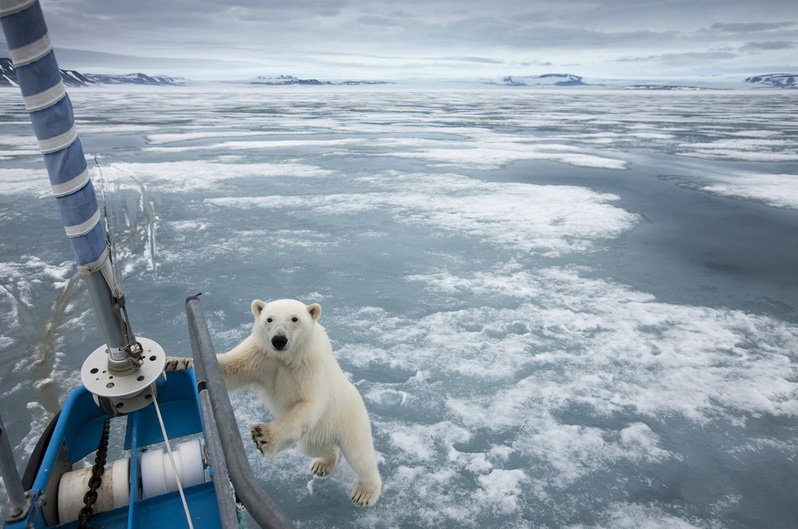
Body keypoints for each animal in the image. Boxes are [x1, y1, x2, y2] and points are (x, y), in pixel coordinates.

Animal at [164, 300, 382, 506]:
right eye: (269, 319)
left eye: (294, 318)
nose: (279, 340)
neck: (287, 357)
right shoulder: (261, 354)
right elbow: (228, 369)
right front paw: (177, 363)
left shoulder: (311, 366)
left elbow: (308, 404)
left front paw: (263, 437)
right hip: (317, 433)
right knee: (314, 447)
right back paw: (322, 464)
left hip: (349, 418)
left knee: (360, 456)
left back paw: (365, 492)